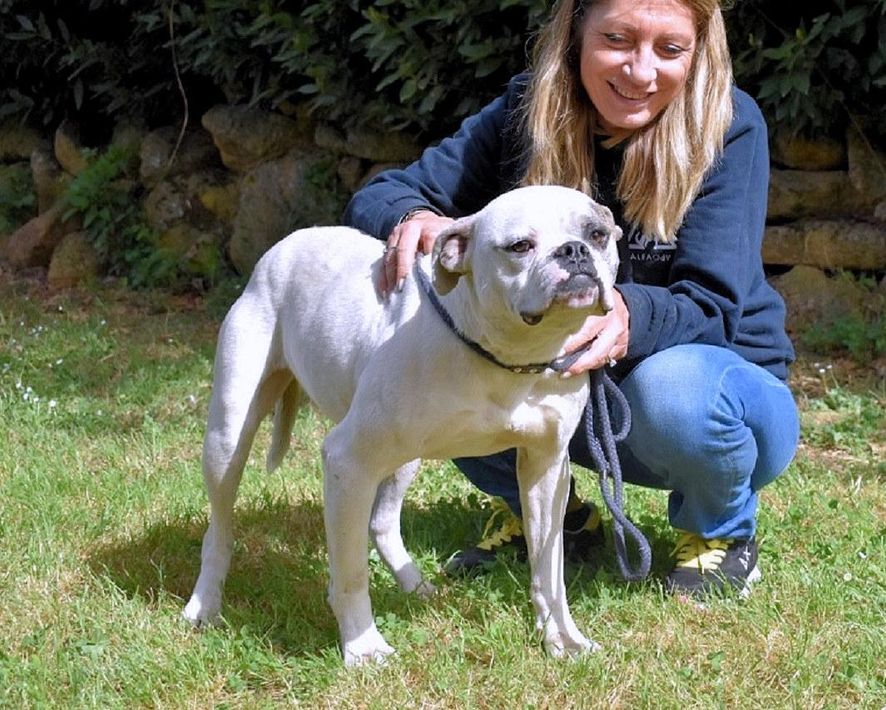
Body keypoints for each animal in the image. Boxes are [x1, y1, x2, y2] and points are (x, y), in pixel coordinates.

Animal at [183, 185, 622, 665]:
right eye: (520, 246)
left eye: (597, 233)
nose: (574, 250)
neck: (512, 356)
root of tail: (281, 248)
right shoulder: (347, 461)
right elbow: (350, 572)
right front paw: (363, 646)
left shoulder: (546, 471)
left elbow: (549, 567)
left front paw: (563, 637)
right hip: (228, 438)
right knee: (219, 530)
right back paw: (204, 605)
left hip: (404, 456)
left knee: (382, 523)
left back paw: (415, 585)